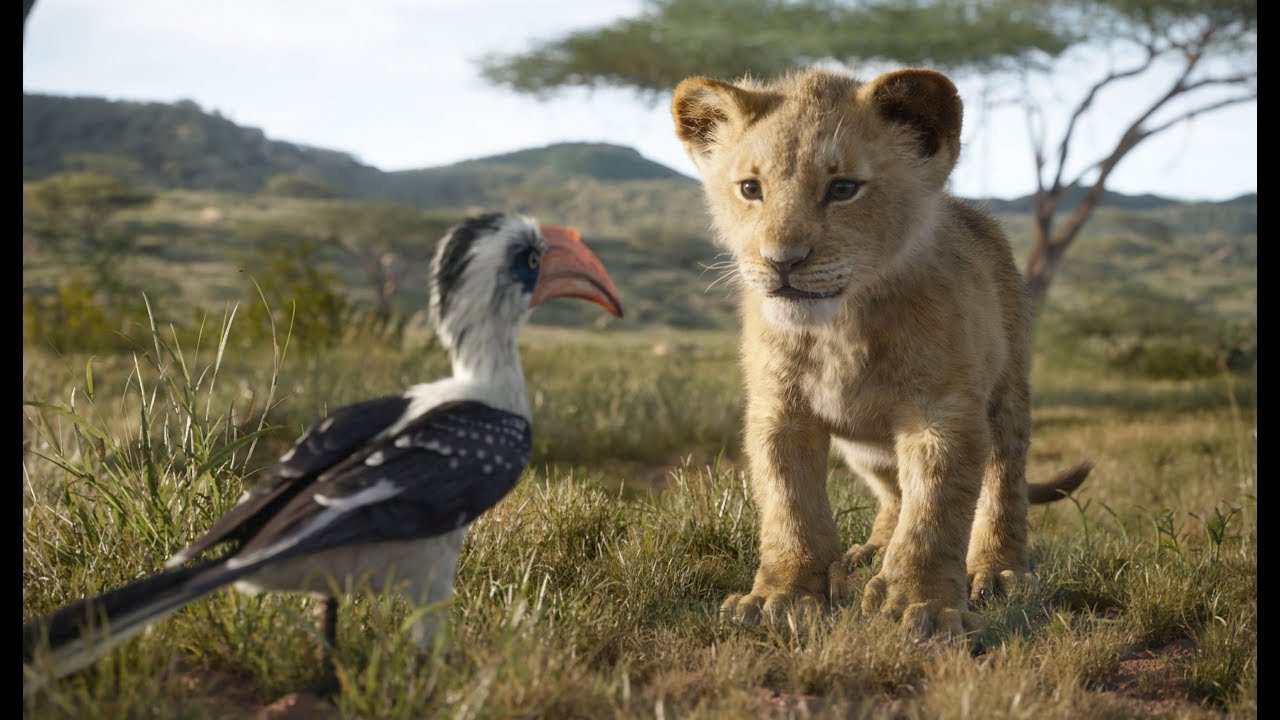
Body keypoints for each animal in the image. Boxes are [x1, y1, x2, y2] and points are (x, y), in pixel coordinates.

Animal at [670, 66, 1092, 638]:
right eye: (750, 189)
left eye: (843, 188)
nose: (782, 261)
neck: (840, 328)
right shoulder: (779, 411)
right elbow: (789, 505)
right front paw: (781, 596)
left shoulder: (942, 411)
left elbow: (935, 511)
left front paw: (923, 605)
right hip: (865, 447)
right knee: (893, 492)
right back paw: (868, 554)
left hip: (1008, 393)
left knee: (1004, 481)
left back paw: (998, 570)